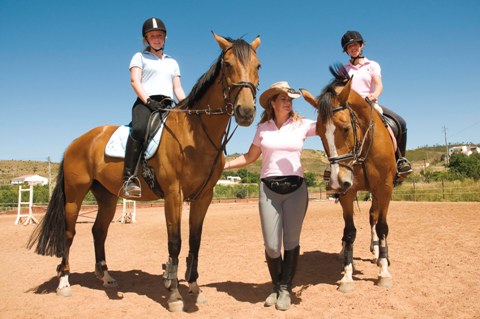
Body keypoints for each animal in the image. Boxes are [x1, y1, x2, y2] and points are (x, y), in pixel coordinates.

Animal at [28, 33, 260, 312]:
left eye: (258, 66)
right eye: (227, 64)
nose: (246, 112)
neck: (195, 135)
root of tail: (78, 141)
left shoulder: (203, 197)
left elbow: (195, 240)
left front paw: (194, 287)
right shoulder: (173, 194)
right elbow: (175, 241)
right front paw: (174, 294)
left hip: (107, 197)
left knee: (99, 232)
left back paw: (106, 277)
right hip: (74, 196)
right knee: (69, 233)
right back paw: (64, 282)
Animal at [302, 63, 396, 294]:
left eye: (345, 128)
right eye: (319, 134)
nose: (337, 181)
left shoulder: (384, 188)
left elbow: (382, 227)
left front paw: (384, 272)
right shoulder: (348, 191)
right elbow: (350, 231)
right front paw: (346, 275)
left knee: (374, 218)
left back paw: (379, 253)